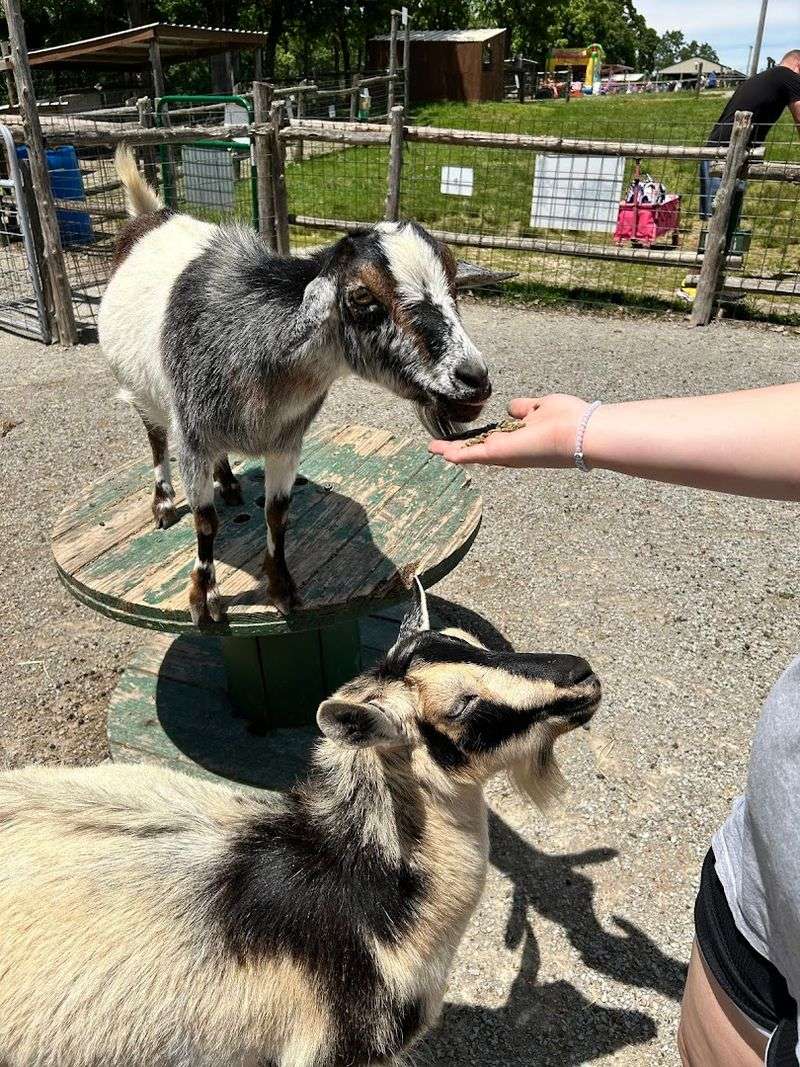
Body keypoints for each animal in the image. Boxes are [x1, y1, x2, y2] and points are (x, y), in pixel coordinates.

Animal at [98, 148, 491, 624]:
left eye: (454, 288)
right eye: (362, 297)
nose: (474, 379)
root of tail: (150, 215)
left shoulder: (286, 441)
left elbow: (277, 514)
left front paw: (282, 587)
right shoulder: (192, 438)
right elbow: (205, 521)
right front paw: (203, 596)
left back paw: (228, 483)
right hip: (143, 394)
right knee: (156, 439)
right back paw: (163, 502)